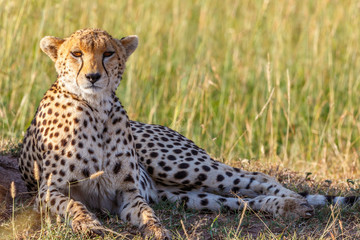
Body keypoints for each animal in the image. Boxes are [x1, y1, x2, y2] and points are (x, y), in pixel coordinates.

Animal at [19, 28, 358, 238]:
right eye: (76, 53)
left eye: (108, 53)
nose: (92, 76)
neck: (96, 108)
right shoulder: (49, 190)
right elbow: (74, 205)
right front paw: (89, 225)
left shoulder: (127, 193)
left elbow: (146, 214)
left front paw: (156, 230)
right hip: (179, 193)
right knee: (237, 201)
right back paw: (286, 206)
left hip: (180, 166)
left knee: (256, 177)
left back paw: (294, 201)